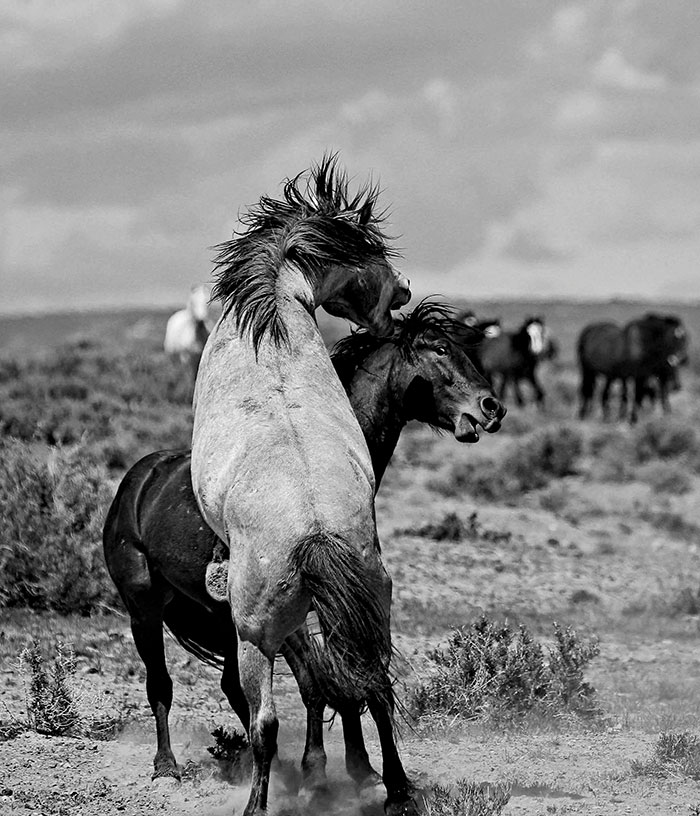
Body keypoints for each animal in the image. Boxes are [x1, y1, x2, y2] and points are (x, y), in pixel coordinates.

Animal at [101, 300, 504, 792]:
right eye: (441, 348)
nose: (492, 407)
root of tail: (138, 478)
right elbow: (322, 684)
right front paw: (331, 766)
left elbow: (341, 680)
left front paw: (356, 767)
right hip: (144, 608)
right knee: (160, 683)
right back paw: (166, 765)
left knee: (234, 687)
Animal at [190, 156, 416, 812]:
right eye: (372, 252)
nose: (404, 291)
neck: (272, 319)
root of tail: (314, 535)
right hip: (369, 608)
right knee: (375, 685)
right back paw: (396, 789)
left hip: (254, 637)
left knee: (265, 723)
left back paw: (259, 804)